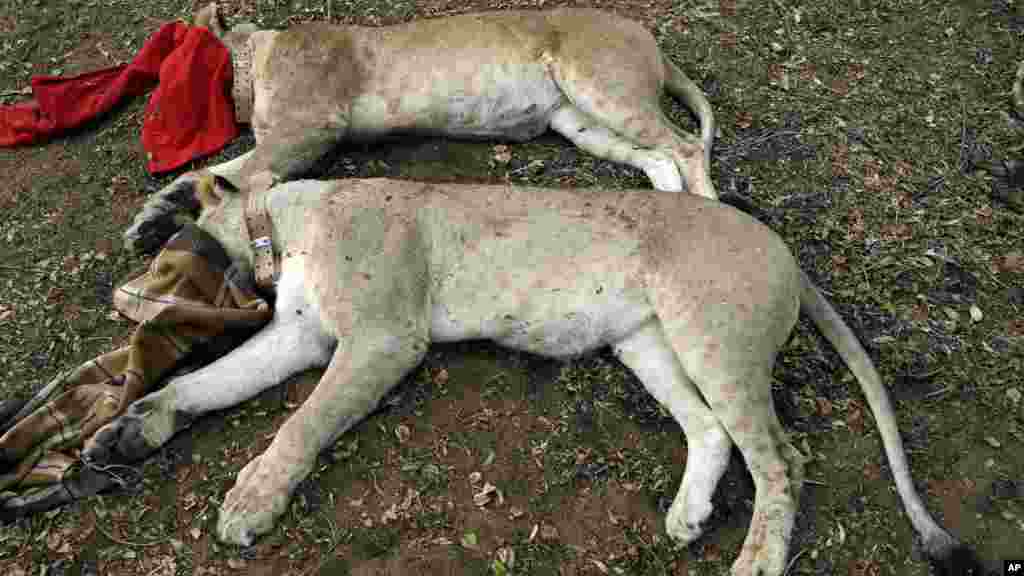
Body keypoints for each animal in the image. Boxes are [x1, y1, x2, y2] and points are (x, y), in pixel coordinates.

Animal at [83, 175, 978, 573]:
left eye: (162, 264)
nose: (130, 309)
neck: (282, 223)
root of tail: (781, 245)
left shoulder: (381, 340)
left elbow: (300, 423)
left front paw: (250, 501)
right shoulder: (302, 338)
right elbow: (208, 386)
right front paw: (133, 427)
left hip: (708, 335)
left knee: (782, 458)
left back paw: (756, 558)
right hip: (648, 343)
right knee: (712, 431)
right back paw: (689, 515)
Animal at [125, 2, 720, 251]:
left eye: (167, 76)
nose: (148, 135)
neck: (257, 64)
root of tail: (649, 39)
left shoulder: (312, 126)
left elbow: (247, 176)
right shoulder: (286, 135)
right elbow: (217, 170)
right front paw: (153, 217)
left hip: (601, 86)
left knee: (686, 147)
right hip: (579, 121)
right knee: (660, 159)